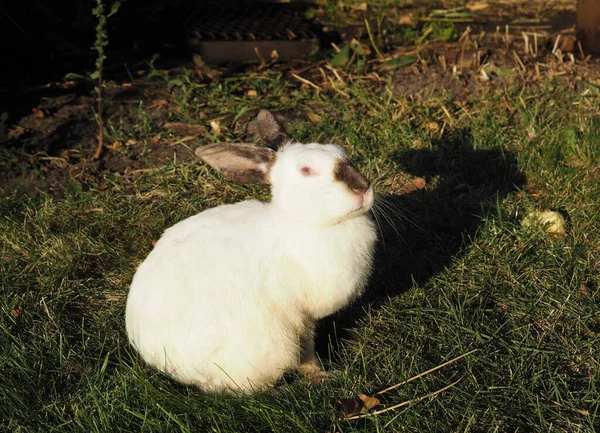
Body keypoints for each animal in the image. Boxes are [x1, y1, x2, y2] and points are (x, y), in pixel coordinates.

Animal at [126, 109, 376, 394]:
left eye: (341, 151)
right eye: (306, 170)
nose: (362, 186)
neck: (308, 222)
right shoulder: (300, 316)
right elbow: (306, 347)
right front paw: (318, 374)